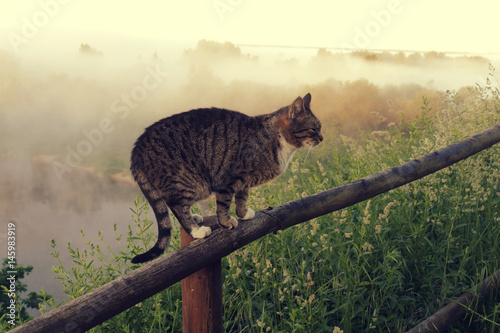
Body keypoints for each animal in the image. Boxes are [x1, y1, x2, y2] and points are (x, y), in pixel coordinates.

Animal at [131, 92, 322, 262]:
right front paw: (226, 222)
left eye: (320, 127)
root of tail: (136, 149)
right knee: (177, 206)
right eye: (313, 129)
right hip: (187, 182)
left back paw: (195, 218)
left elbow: (242, 198)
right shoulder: (226, 178)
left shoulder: (244, 181)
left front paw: (243, 213)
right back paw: (196, 230)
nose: (321, 138)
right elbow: (223, 205)